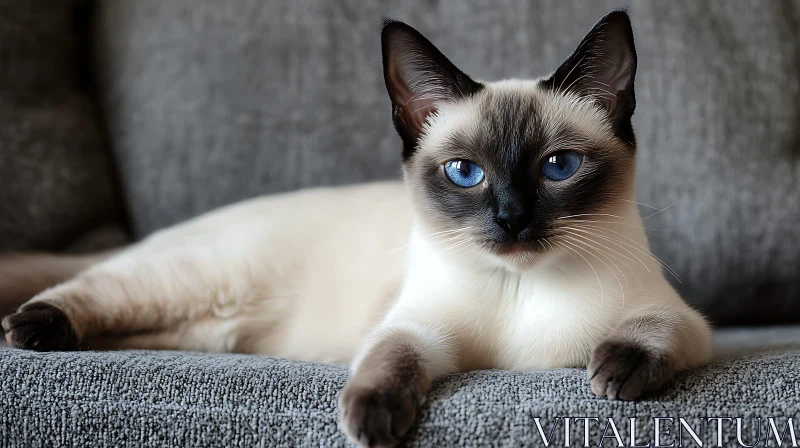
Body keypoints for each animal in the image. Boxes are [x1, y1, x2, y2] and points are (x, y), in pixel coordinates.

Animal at [3, 10, 708, 448]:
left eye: (558, 167)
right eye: (465, 173)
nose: (510, 219)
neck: (519, 290)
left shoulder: (686, 325)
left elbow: (650, 332)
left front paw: (611, 376)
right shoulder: (418, 328)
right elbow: (389, 360)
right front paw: (370, 421)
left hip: (201, 329)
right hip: (194, 283)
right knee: (97, 284)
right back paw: (31, 330)